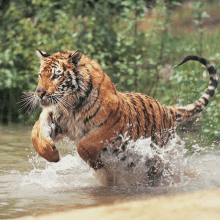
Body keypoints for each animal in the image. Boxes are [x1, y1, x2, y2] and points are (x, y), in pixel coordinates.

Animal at [23, 49, 217, 174]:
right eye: (40, 75)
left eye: (56, 75)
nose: (39, 93)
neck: (71, 105)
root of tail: (167, 109)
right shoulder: (52, 116)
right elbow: (35, 134)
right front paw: (52, 154)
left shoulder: (110, 125)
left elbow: (84, 144)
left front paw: (96, 163)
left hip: (159, 157)